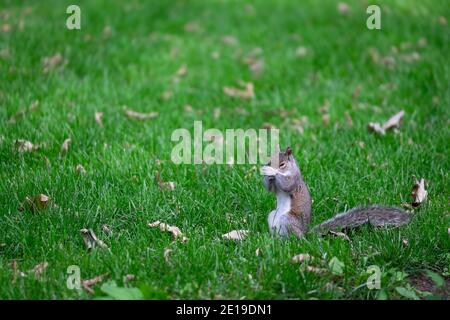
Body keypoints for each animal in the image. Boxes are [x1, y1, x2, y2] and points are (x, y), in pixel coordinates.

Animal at [260, 147, 412, 238]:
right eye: (270, 159)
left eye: (282, 164)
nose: (267, 166)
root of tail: (305, 233)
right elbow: (270, 188)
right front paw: (266, 174)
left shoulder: (294, 180)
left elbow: (287, 185)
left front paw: (272, 172)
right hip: (273, 216)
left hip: (289, 220)